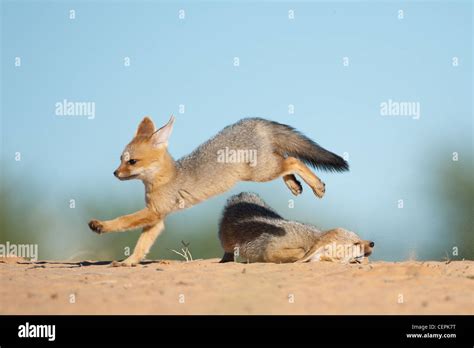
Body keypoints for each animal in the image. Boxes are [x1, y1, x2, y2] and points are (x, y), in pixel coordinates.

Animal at [88, 115, 348, 266]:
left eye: (131, 162)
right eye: (120, 160)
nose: (115, 173)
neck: (165, 178)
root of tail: (251, 121)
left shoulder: (153, 212)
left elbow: (123, 220)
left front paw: (101, 225)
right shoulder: (157, 219)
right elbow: (142, 245)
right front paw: (130, 261)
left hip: (259, 173)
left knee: (293, 159)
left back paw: (316, 185)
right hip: (264, 168)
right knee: (286, 158)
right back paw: (295, 184)